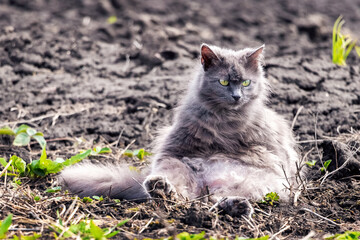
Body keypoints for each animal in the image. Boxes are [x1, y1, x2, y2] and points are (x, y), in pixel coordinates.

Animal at [59, 43, 300, 218]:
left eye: (247, 83)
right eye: (223, 82)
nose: (236, 96)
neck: (226, 120)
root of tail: (208, 185)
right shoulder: (174, 146)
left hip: (261, 183)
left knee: (214, 201)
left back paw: (236, 207)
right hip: (176, 167)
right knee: (183, 196)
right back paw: (161, 189)